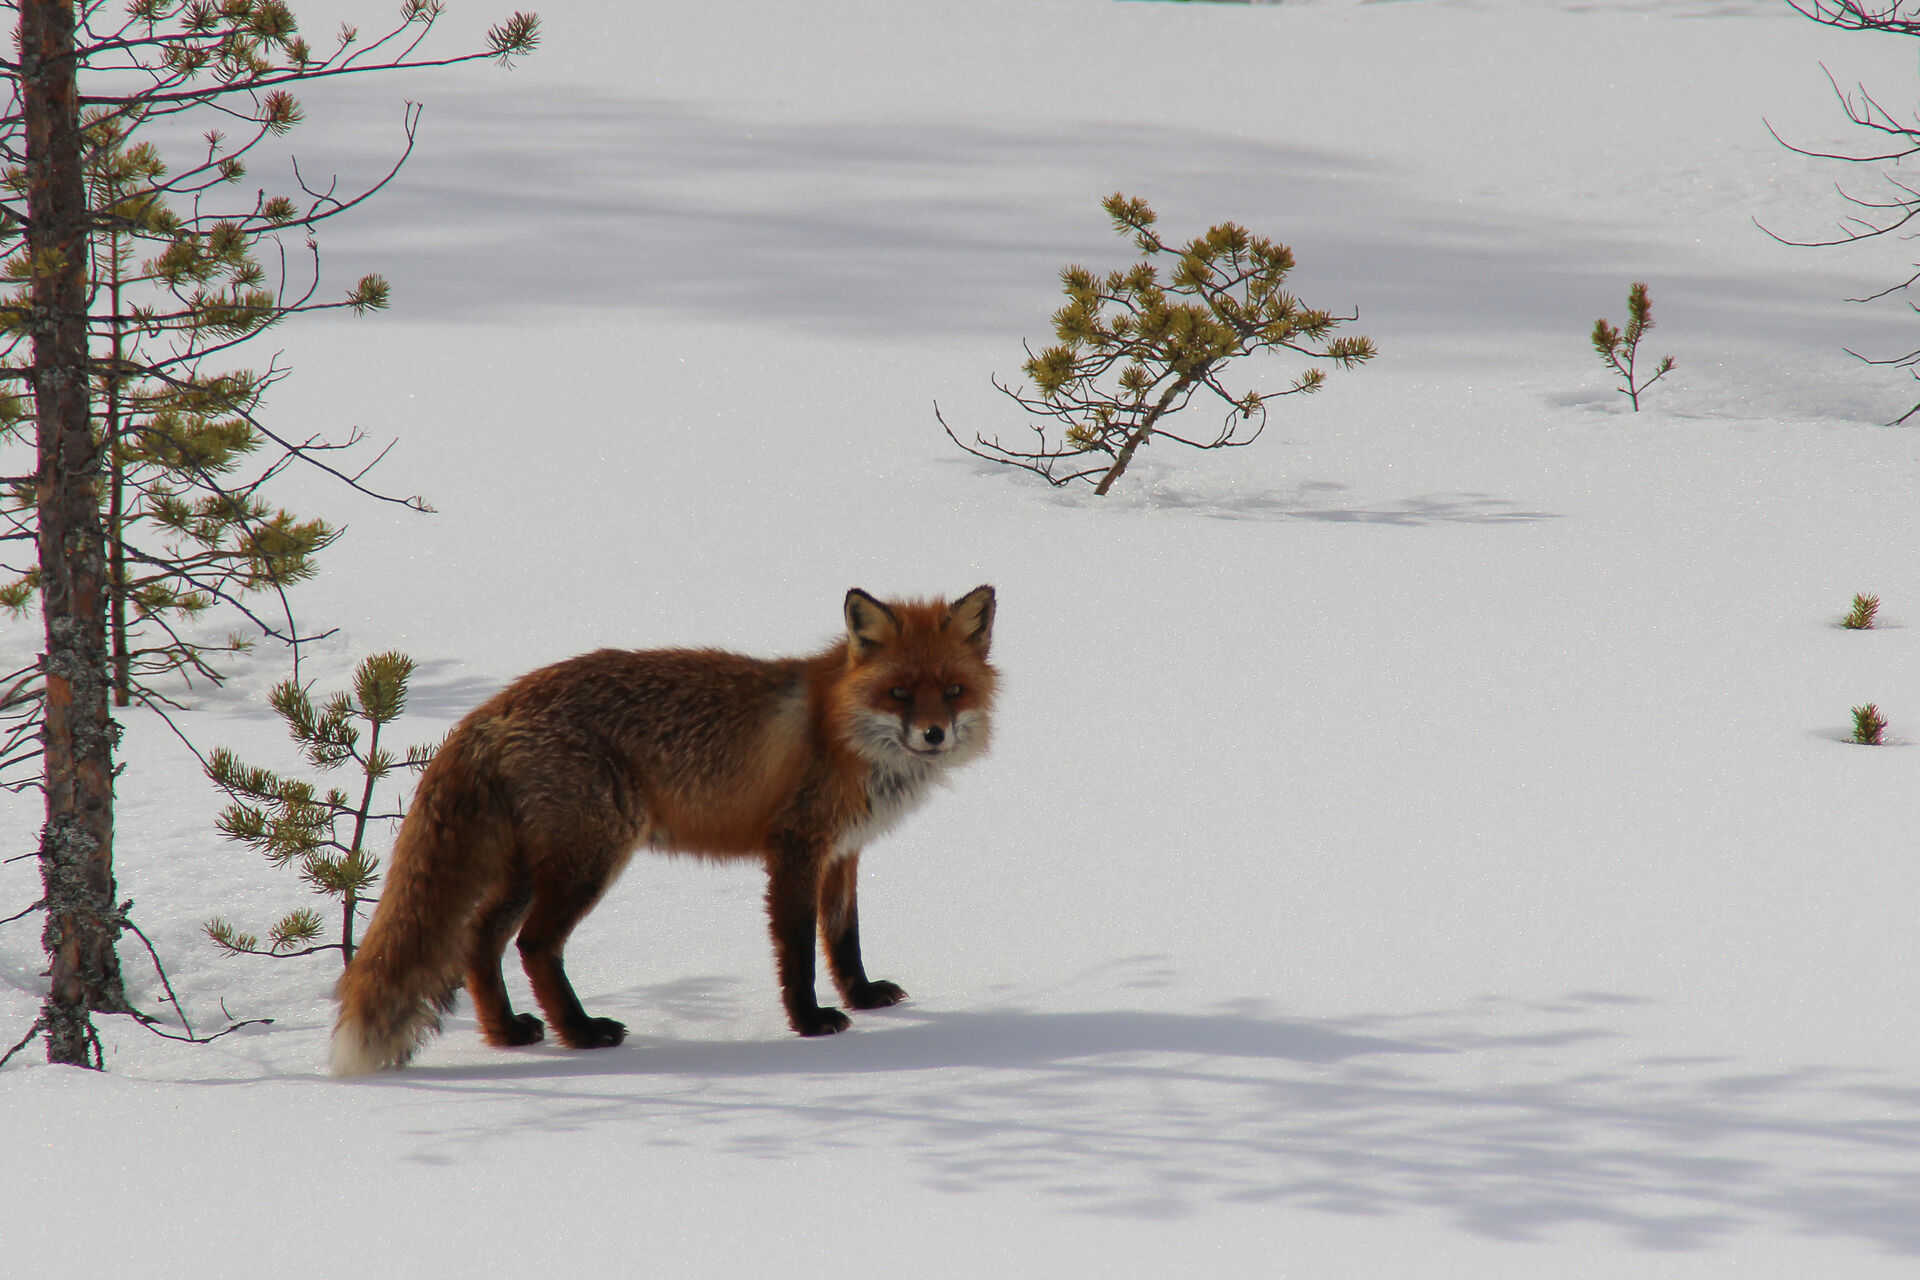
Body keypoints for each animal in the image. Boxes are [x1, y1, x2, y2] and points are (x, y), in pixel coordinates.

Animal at [329, 584, 996, 1076]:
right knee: (535, 944)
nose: (934, 735)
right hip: (592, 857)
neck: (838, 728)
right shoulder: (797, 848)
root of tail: (495, 706)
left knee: (479, 939)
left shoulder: (842, 852)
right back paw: (581, 1033)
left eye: (953, 691)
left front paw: (860, 997)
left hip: (530, 867)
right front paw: (809, 1022)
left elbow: (843, 938)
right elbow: (800, 949)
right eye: (899, 693)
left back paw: (509, 1033)